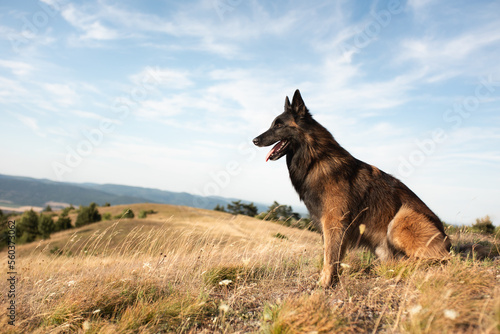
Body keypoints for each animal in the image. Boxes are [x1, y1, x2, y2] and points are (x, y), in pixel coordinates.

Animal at [252, 88, 452, 288]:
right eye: (272, 124)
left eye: (279, 125)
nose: (254, 140)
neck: (316, 159)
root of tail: (445, 236)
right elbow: (334, 257)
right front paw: (332, 281)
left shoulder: (333, 222)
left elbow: (330, 257)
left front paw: (323, 284)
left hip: (401, 220)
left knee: (440, 260)